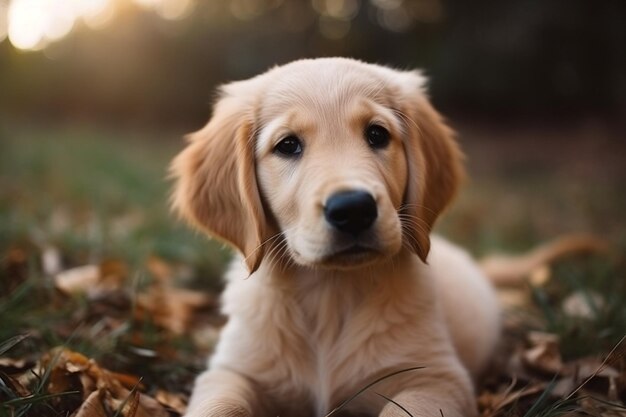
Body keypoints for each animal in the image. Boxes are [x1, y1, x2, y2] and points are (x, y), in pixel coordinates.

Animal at [169, 57, 498, 416]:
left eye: (377, 134)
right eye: (288, 145)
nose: (353, 209)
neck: (330, 292)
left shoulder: (436, 378)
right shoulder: (232, 371)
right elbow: (219, 407)